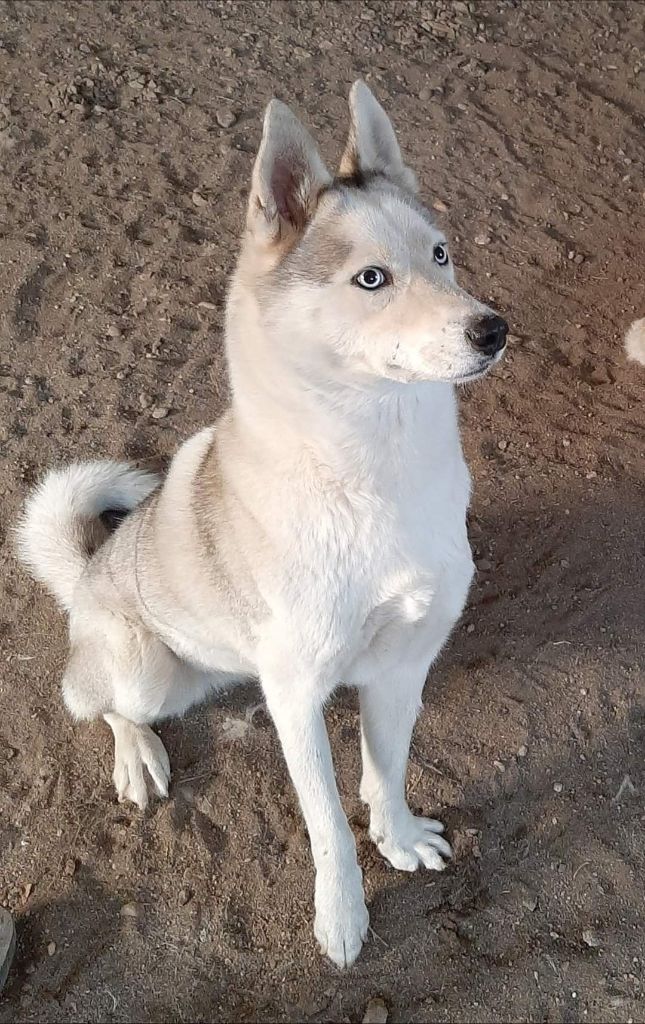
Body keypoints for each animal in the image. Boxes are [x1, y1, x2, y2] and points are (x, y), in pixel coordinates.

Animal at [17, 81, 507, 967]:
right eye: (371, 278)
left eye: (441, 254)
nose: (493, 329)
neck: (373, 469)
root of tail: (90, 571)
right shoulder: (296, 696)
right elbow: (327, 829)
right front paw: (341, 918)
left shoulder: (401, 665)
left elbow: (385, 773)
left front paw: (398, 838)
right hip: (142, 667)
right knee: (97, 703)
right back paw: (138, 758)